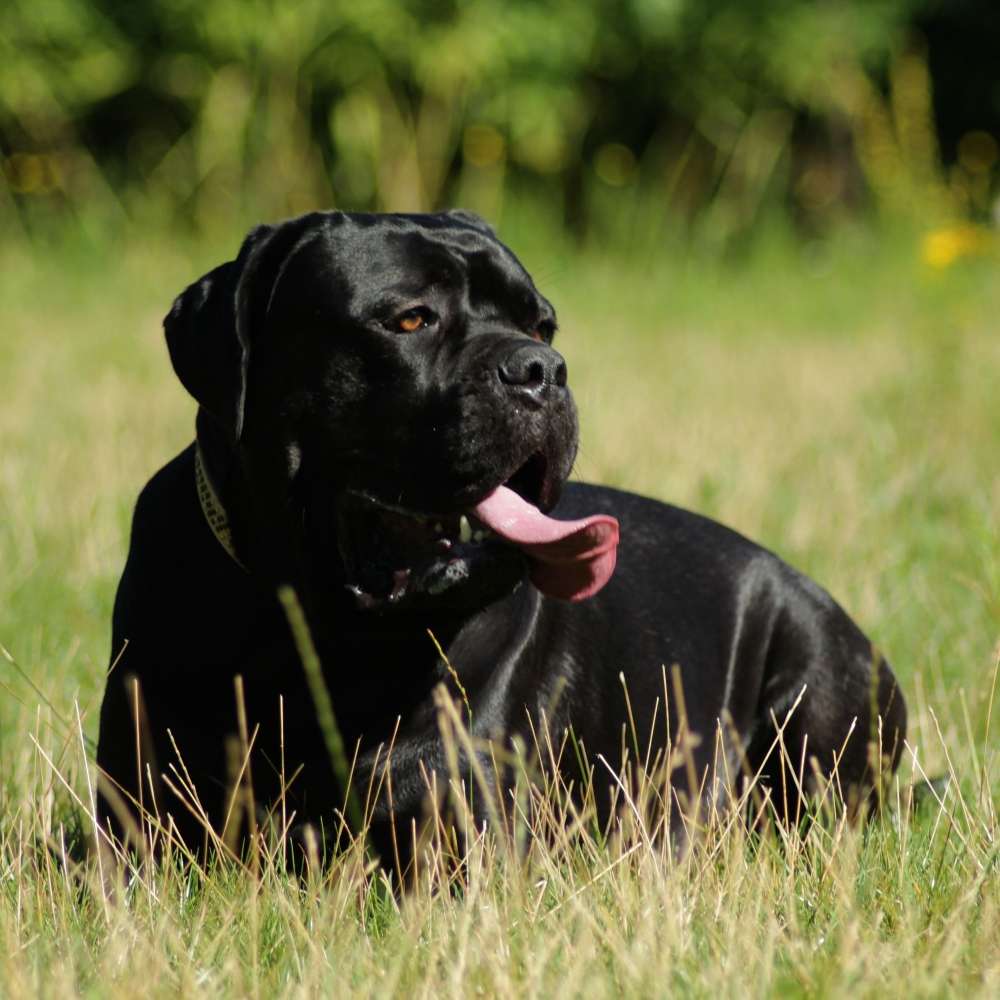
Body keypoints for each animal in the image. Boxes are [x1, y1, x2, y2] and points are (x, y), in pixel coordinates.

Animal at [97, 211, 912, 868]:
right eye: (410, 320)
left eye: (543, 326)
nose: (541, 369)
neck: (326, 634)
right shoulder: (135, 824)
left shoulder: (463, 839)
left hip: (814, 679)